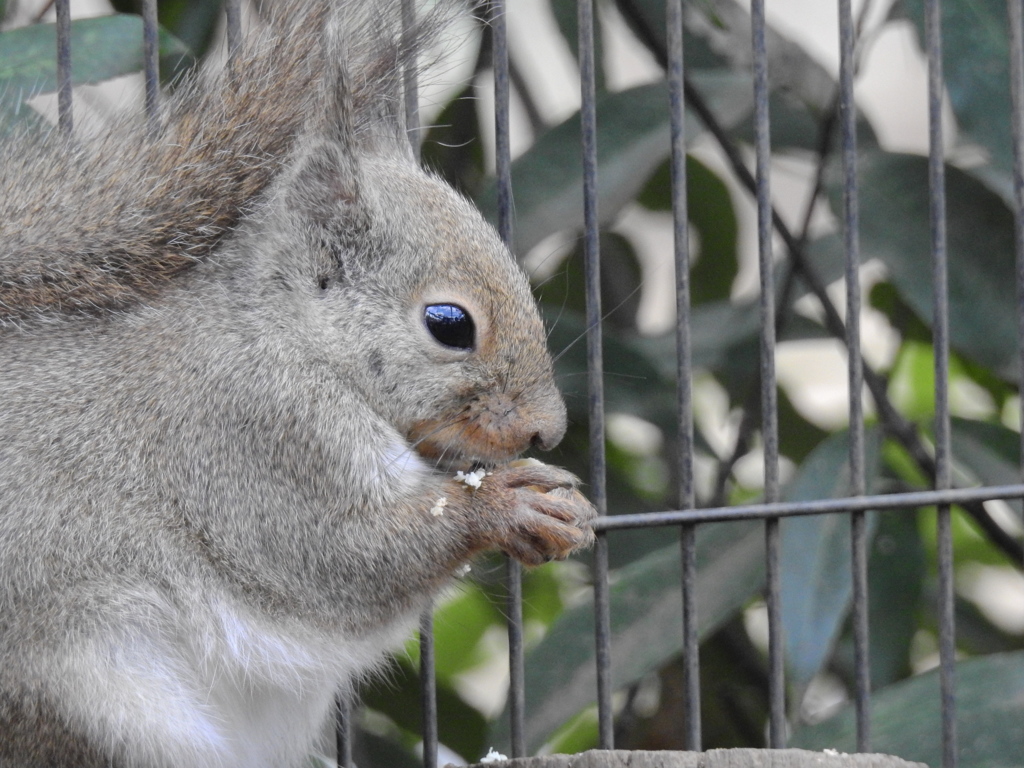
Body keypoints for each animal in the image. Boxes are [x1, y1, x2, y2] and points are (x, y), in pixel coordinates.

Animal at [0, 1, 598, 768]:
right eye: (449, 323)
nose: (546, 429)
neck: (291, 337)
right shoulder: (256, 436)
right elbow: (338, 553)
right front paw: (504, 505)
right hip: (89, 689)